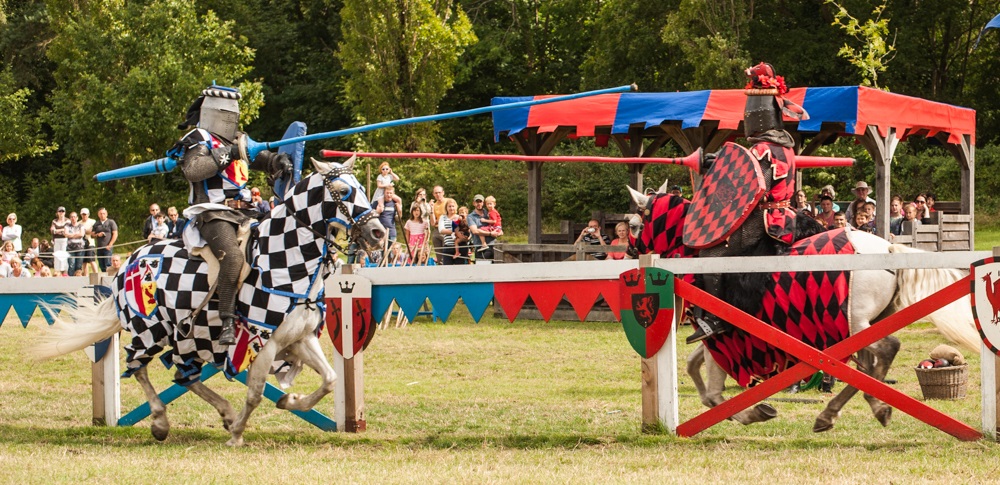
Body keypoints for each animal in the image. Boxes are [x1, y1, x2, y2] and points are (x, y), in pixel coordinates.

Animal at [33, 157, 384, 444]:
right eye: (343, 190)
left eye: (362, 189)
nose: (378, 233)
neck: (284, 261)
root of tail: (128, 263)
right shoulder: (263, 341)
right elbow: (255, 392)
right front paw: (239, 433)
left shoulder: (299, 339)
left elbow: (330, 379)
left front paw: (289, 402)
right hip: (149, 328)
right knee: (139, 366)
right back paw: (161, 421)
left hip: (185, 336)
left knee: (183, 374)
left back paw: (224, 412)